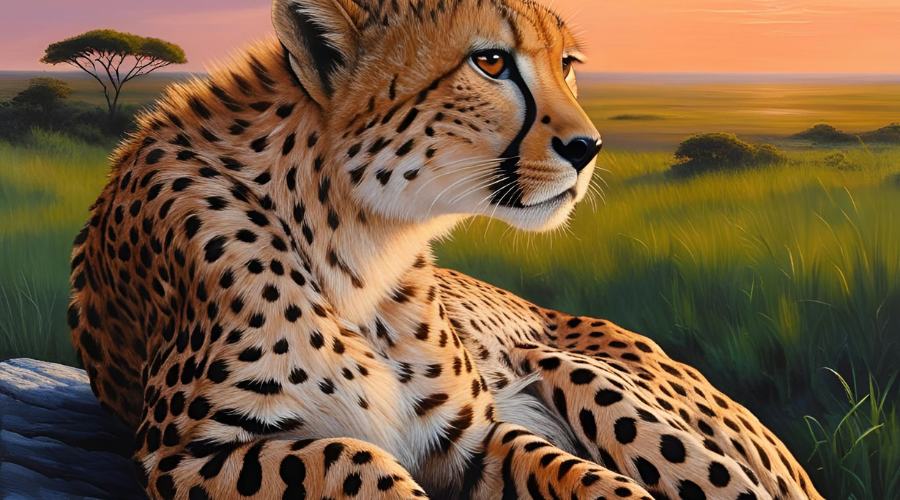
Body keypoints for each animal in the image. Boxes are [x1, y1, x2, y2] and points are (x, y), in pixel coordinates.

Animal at [67, 0, 826, 499]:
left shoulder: (472, 441)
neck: (358, 238)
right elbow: (351, 457)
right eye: (491, 62)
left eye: (567, 66)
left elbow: (584, 475)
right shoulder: (184, 456)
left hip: (574, 365)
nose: (589, 147)